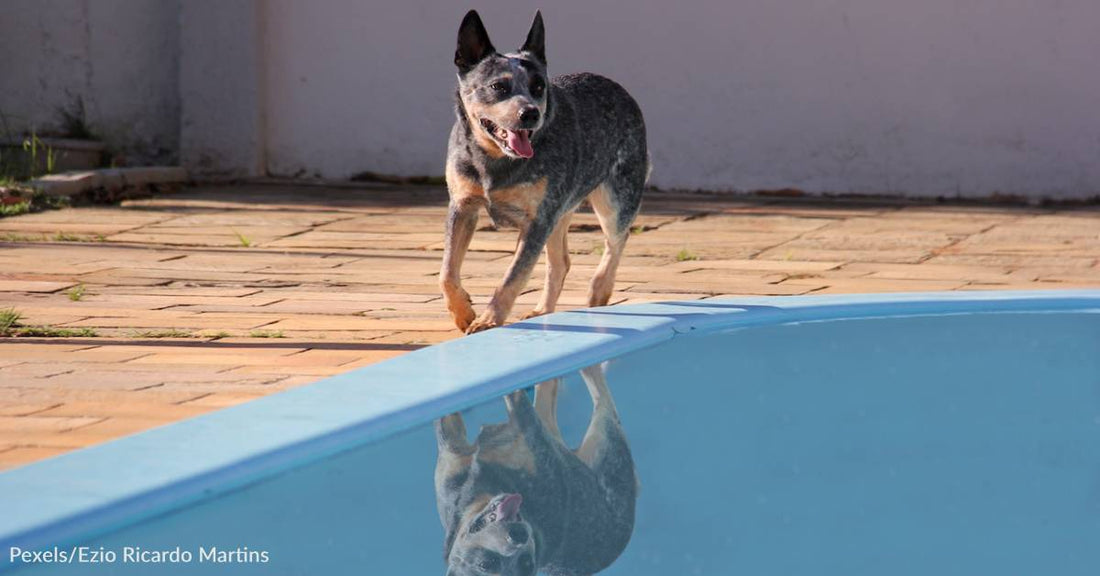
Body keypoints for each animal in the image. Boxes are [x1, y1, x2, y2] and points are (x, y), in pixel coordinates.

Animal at [437, 9, 642, 331]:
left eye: (538, 87)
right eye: (498, 86)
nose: (531, 113)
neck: (495, 161)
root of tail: (620, 89)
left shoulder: (537, 219)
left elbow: (513, 276)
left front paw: (489, 320)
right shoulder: (463, 206)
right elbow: (447, 271)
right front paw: (463, 313)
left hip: (616, 198)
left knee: (616, 242)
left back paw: (599, 290)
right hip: (560, 210)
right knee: (561, 263)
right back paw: (543, 310)